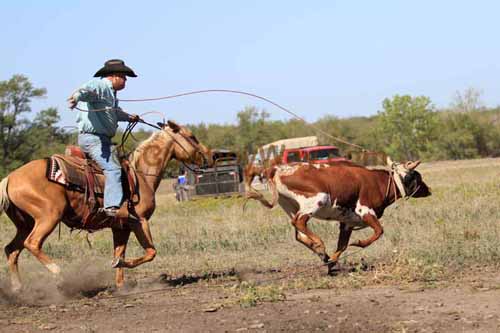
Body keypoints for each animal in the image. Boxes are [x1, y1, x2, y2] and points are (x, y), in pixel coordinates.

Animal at [0, 119, 211, 290]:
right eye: (192, 136)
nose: (211, 156)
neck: (141, 175)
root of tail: (9, 178)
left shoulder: (121, 227)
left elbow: (120, 252)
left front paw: (120, 284)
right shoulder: (140, 221)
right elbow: (151, 252)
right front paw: (119, 265)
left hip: (25, 224)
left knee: (11, 250)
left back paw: (18, 289)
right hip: (49, 216)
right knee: (32, 243)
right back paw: (58, 274)